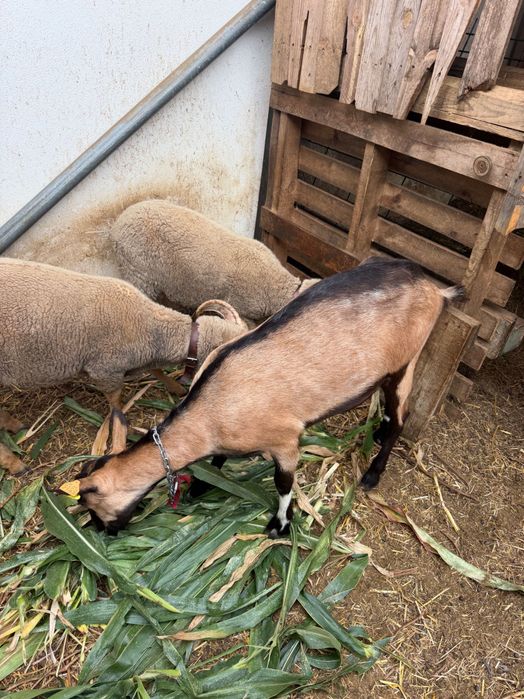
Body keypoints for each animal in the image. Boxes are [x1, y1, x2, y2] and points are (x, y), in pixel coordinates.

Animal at [73, 259, 463, 535]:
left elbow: (283, 484)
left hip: (407, 361)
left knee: (401, 417)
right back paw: (378, 434)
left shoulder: (285, 441)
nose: (104, 533)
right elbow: (218, 460)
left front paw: (280, 525)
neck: (211, 407)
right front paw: (202, 485)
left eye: (93, 507)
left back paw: (372, 474)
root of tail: (435, 289)